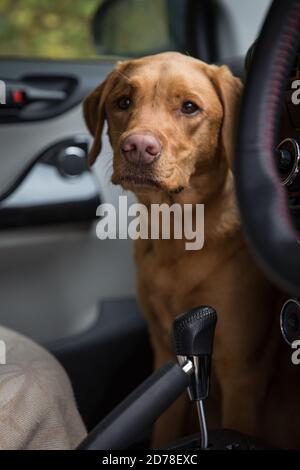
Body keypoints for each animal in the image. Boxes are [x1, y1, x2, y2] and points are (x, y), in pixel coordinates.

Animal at [83, 51, 300, 448]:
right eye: (123, 102)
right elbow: (163, 427)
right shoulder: (166, 354)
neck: (176, 231)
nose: (138, 147)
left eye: (189, 107)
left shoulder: (242, 373)